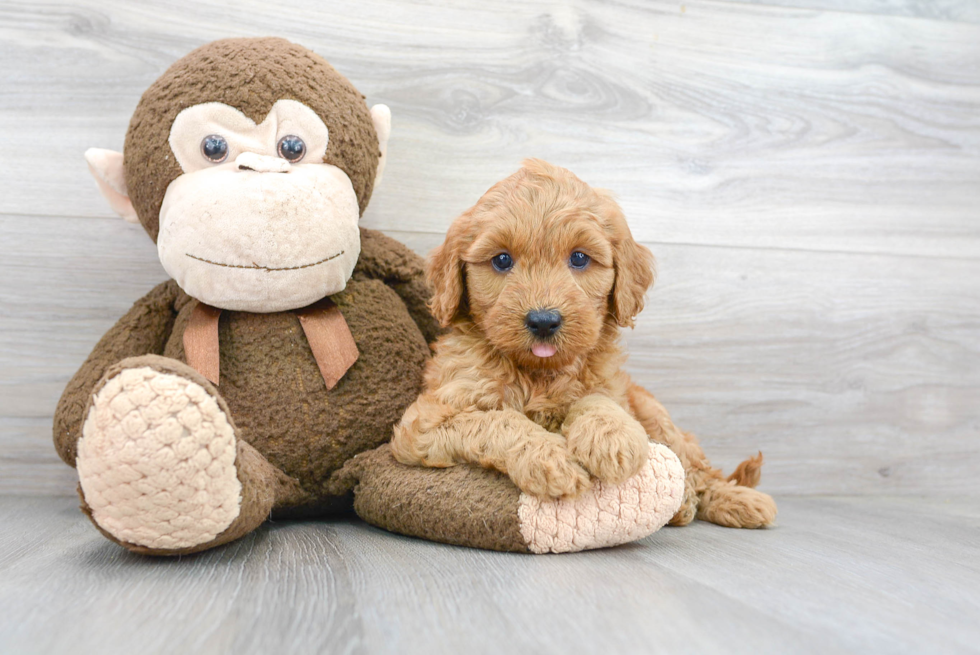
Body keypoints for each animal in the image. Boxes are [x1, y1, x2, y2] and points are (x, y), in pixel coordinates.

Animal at [392, 161, 780, 532]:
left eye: (579, 258)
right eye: (502, 260)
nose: (543, 320)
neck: (540, 375)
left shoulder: (611, 387)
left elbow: (597, 400)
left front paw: (611, 438)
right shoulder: (423, 423)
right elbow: (496, 421)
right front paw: (549, 459)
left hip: (657, 414)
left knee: (698, 467)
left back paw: (732, 500)